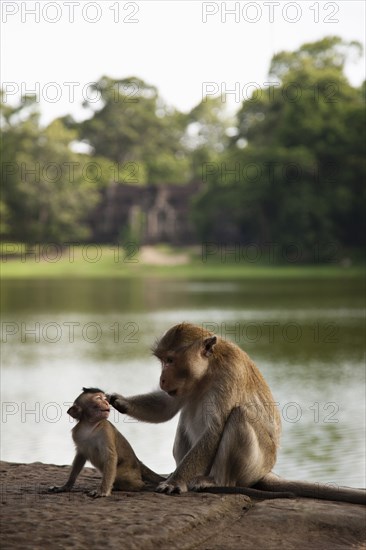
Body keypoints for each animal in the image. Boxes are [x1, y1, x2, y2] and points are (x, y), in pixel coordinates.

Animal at [108, 324, 366, 508]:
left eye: (170, 360)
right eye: (162, 361)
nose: (162, 379)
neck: (206, 373)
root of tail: (266, 470)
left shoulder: (229, 375)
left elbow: (215, 430)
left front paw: (174, 482)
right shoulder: (183, 386)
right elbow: (166, 407)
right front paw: (118, 401)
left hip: (257, 462)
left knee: (239, 416)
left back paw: (214, 481)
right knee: (185, 414)